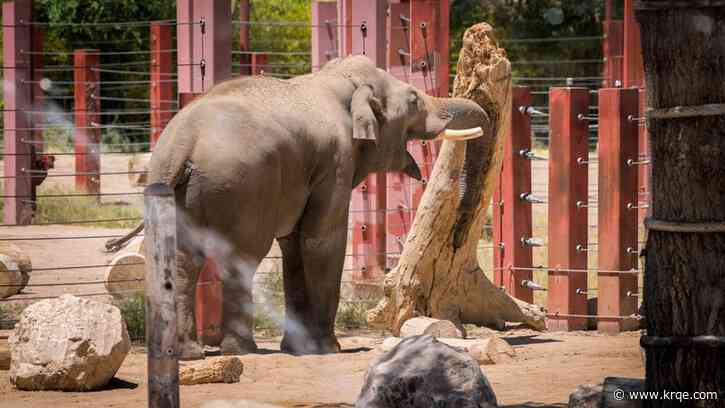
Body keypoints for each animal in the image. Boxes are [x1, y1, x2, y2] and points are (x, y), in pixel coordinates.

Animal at [110, 55, 490, 358]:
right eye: (413, 100)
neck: (338, 80)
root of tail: (184, 144)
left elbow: (294, 245)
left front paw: (300, 348)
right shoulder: (336, 160)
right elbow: (321, 239)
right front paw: (328, 349)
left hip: (173, 187)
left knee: (182, 260)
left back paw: (185, 353)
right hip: (244, 186)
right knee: (241, 258)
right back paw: (240, 350)